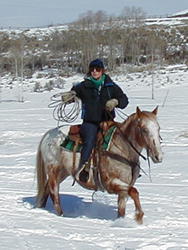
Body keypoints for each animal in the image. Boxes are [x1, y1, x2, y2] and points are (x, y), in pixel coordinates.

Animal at [35, 106, 163, 224]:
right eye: (144, 129)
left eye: (158, 128)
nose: (158, 156)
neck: (122, 149)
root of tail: (49, 134)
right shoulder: (111, 183)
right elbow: (134, 191)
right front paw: (139, 216)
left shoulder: (124, 188)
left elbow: (122, 208)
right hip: (53, 171)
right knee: (54, 194)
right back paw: (61, 216)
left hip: (63, 172)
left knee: (46, 190)